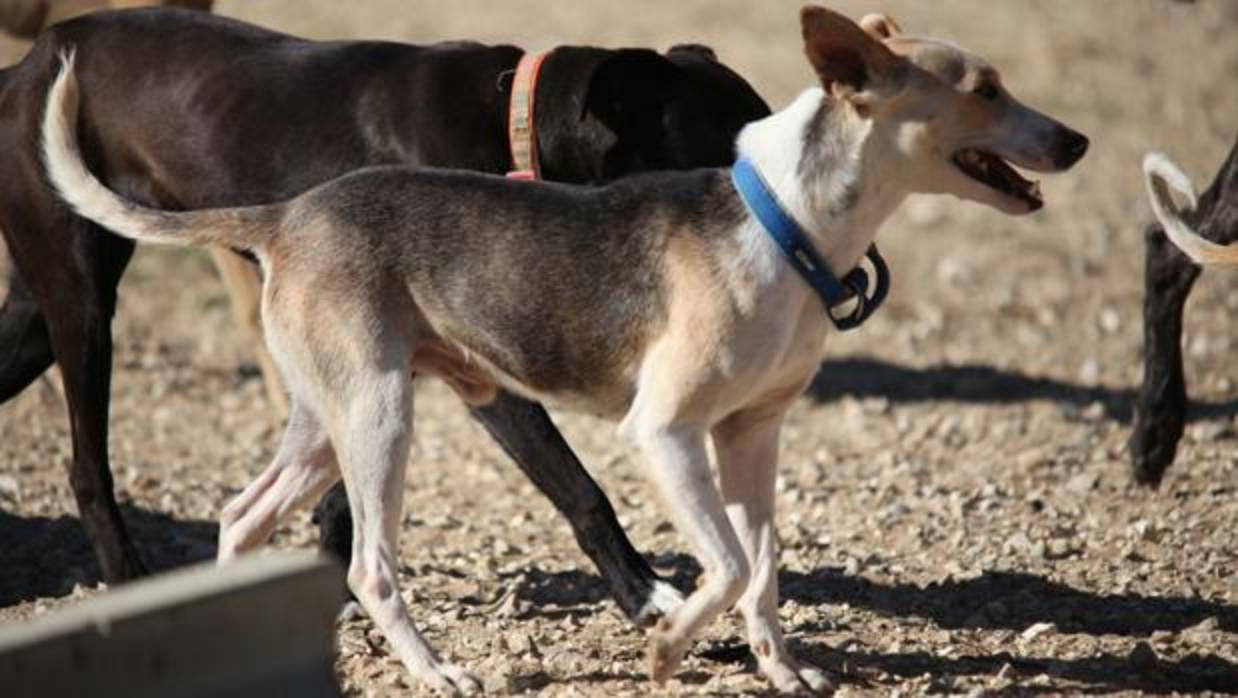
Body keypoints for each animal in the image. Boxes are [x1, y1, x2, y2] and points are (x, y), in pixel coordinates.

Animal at [41, 5, 1084, 693]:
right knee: (369, 565)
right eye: (986, 90)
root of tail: (287, 215)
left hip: (327, 416)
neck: (780, 222)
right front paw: (666, 645)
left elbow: (764, 565)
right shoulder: (666, 434)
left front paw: (782, 669)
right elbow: (723, 566)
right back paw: (437, 671)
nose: (1075, 141)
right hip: (380, 416)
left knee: (241, 515)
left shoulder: (753, 433)